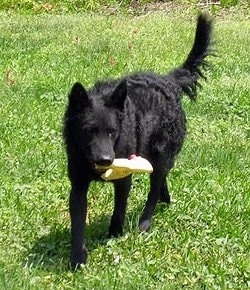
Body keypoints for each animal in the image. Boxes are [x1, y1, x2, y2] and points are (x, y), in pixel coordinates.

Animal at [64, 13, 213, 268]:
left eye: (113, 131)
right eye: (89, 131)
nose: (105, 160)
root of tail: (169, 80)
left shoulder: (124, 178)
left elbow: (119, 209)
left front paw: (115, 233)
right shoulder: (78, 184)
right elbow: (78, 223)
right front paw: (77, 257)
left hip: (161, 154)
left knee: (153, 189)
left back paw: (145, 221)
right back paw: (165, 200)